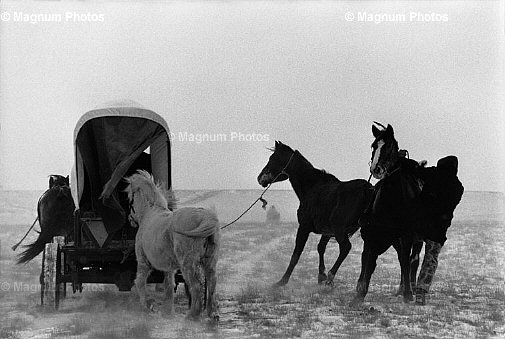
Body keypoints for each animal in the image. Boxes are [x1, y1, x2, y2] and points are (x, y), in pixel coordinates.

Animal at [124, 170, 219, 322]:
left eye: (129, 198)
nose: (130, 219)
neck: (149, 212)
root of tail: (205, 218)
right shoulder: (169, 268)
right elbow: (169, 285)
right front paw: (167, 311)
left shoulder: (143, 262)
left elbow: (140, 281)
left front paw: (149, 305)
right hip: (210, 262)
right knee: (212, 283)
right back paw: (212, 313)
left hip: (188, 264)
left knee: (196, 286)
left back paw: (192, 315)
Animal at [258, 141, 372, 286]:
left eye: (272, 158)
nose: (260, 178)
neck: (312, 188)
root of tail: (367, 189)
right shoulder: (327, 231)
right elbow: (320, 248)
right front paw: (321, 275)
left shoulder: (304, 227)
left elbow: (296, 254)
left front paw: (282, 281)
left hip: (340, 230)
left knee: (346, 248)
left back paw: (331, 277)